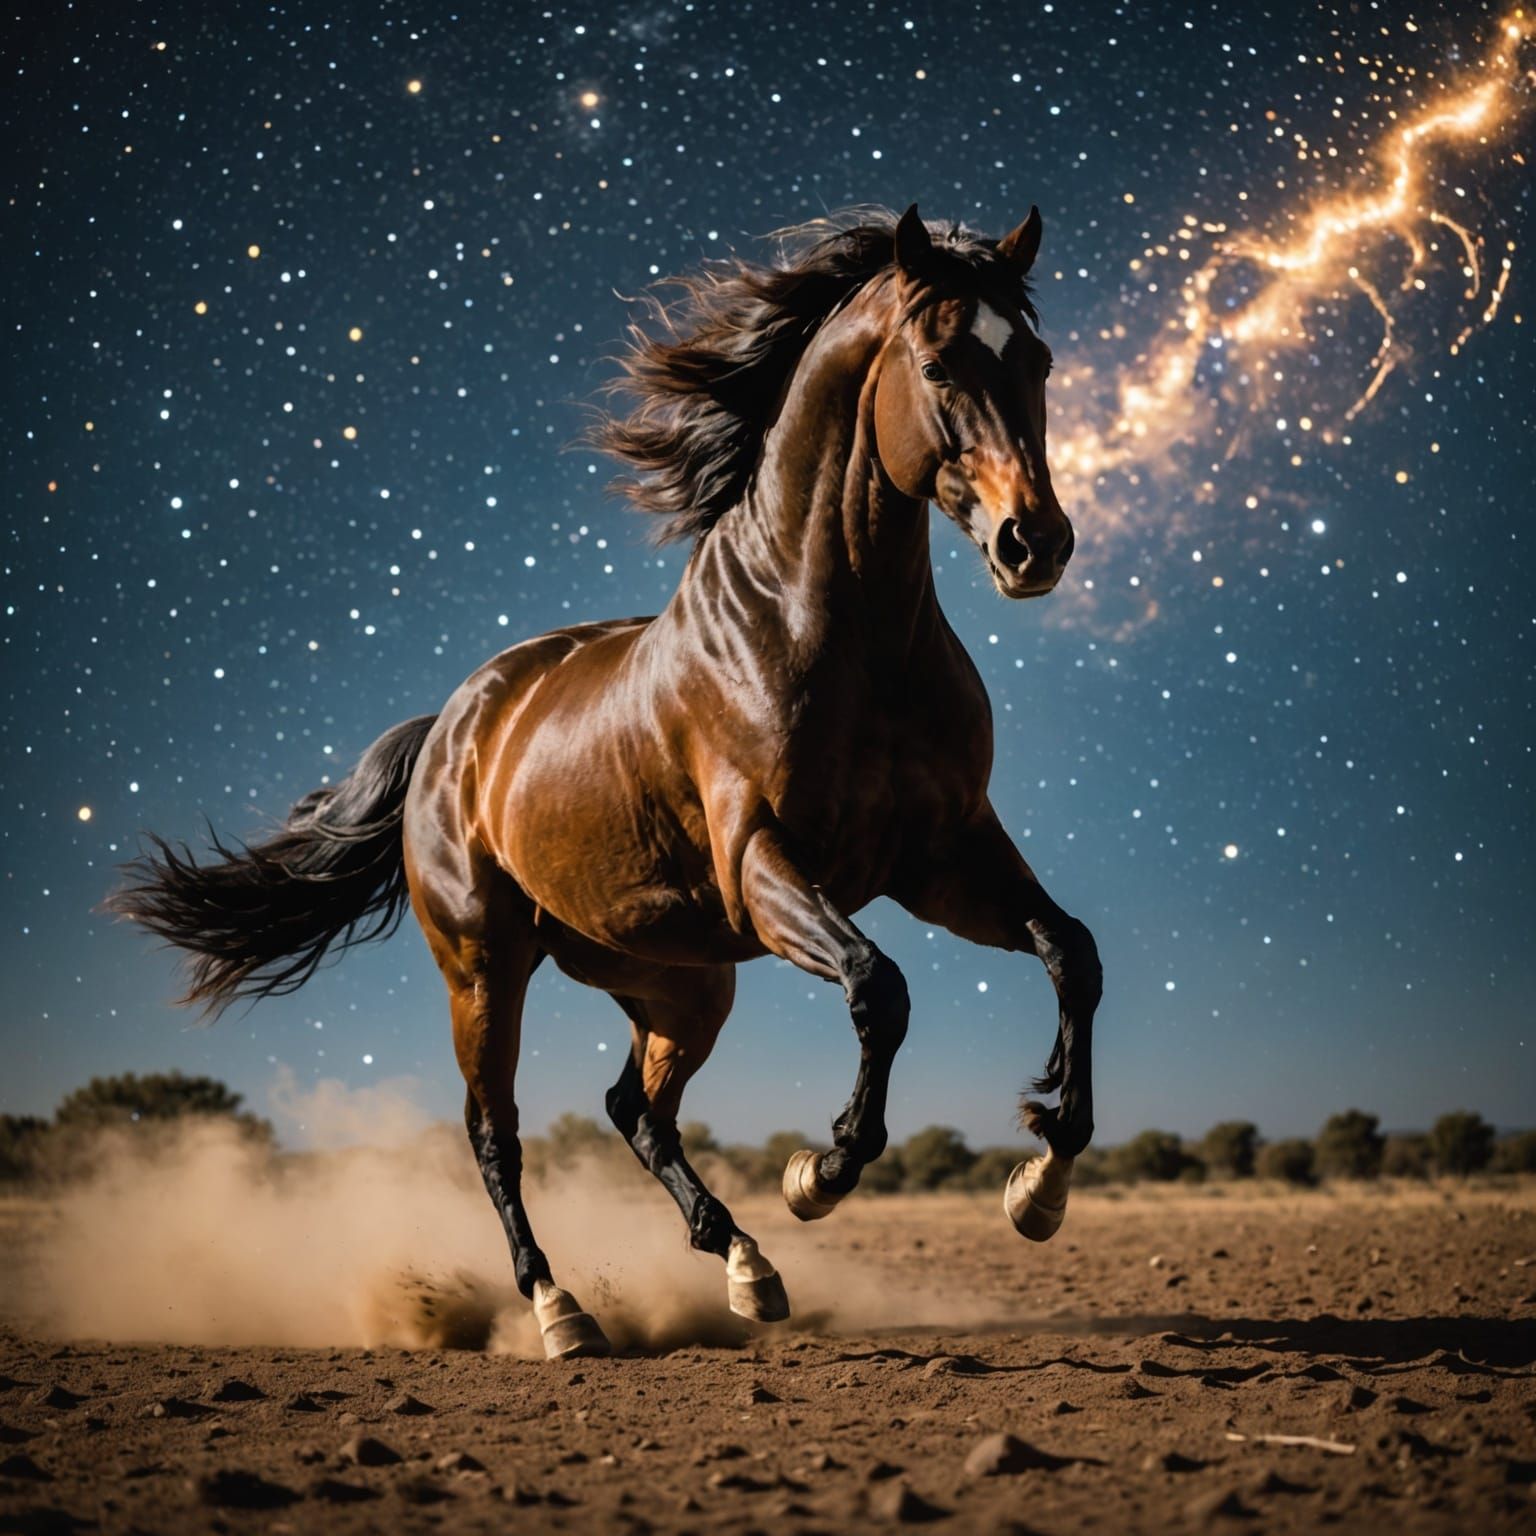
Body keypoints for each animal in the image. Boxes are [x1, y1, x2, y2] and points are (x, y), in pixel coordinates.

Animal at [107, 204, 1102, 1359]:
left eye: (1036, 359)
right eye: (939, 361)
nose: (1035, 543)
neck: (840, 633)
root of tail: (451, 728)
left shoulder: (946, 857)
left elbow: (1072, 955)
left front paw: (1040, 1185)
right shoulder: (765, 866)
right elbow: (878, 986)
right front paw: (821, 1172)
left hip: (682, 981)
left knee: (635, 1109)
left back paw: (748, 1270)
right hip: (487, 967)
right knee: (496, 1132)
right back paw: (562, 1311)